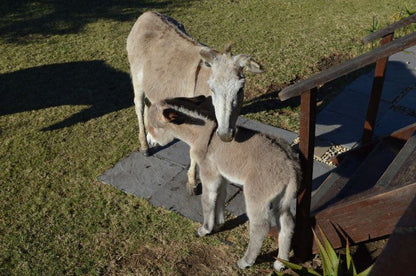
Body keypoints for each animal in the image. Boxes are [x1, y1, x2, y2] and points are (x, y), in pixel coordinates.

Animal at [126, 11, 264, 194]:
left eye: (241, 89)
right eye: (212, 88)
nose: (226, 135)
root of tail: (147, 14)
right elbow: (193, 150)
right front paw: (192, 183)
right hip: (137, 81)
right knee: (139, 107)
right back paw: (145, 147)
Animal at [145, 96, 300, 270]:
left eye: (152, 127)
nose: (149, 142)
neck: (201, 136)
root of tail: (291, 167)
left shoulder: (209, 173)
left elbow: (207, 200)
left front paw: (205, 229)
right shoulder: (222, 176)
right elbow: (220, 197)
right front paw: (219, 224)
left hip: (257, 195)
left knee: (260, 227)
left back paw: (246, 261)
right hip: (281, 198)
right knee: (287, 224)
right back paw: (281, 262)